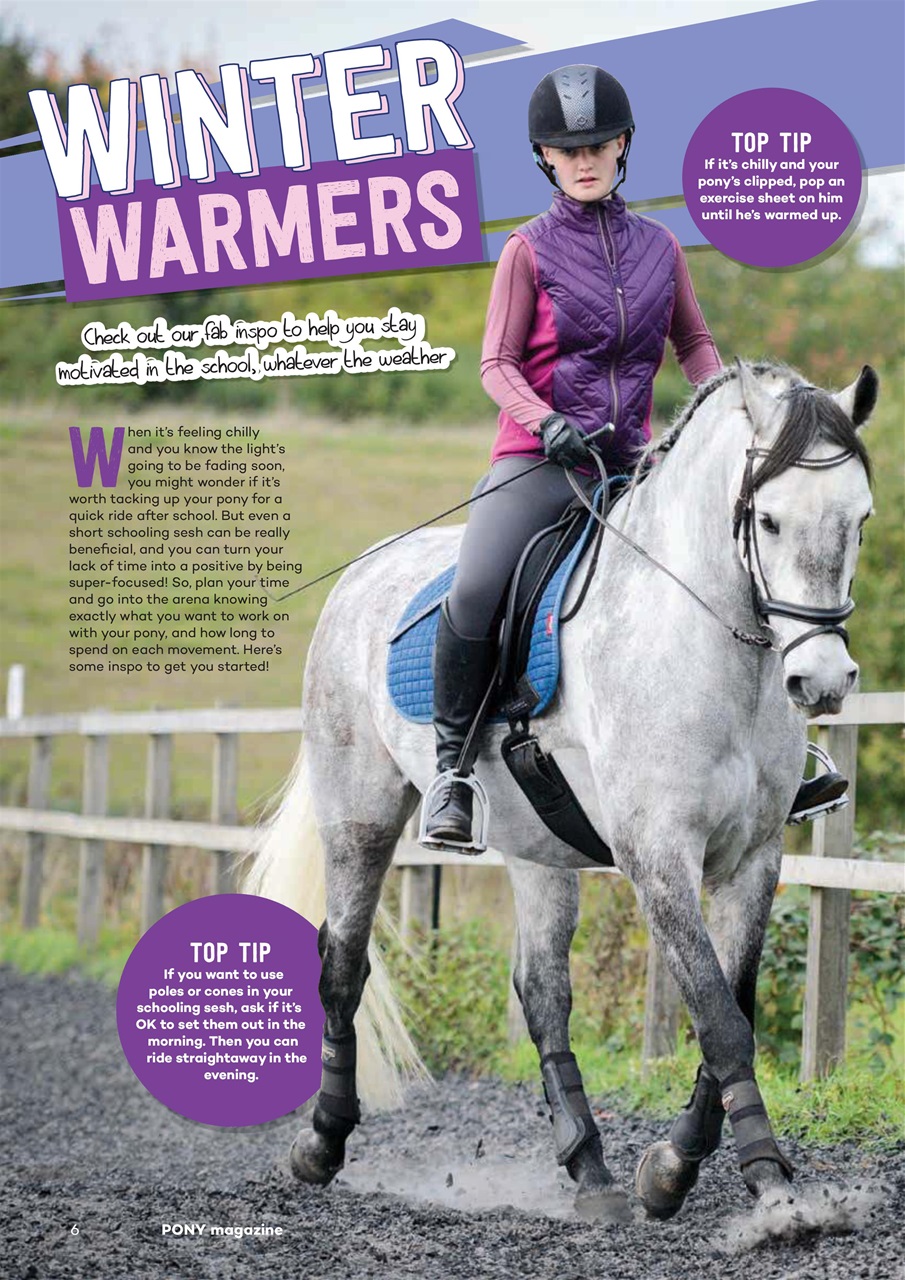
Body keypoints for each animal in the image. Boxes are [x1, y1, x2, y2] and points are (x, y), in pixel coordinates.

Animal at [245, 359, 877, 1225]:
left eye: (859, 519)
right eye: (770, 521)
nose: (820, 681)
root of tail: (362, 574)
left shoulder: (753, 860)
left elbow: (733, 1009)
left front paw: (669, 1169)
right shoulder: (657, 856)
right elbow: (717, 1016)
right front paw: (763, 1185)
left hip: (536, 850)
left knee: (542, 992)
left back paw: (589, 1169)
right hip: (359, 816)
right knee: (342, 963)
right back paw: (320, 1144)